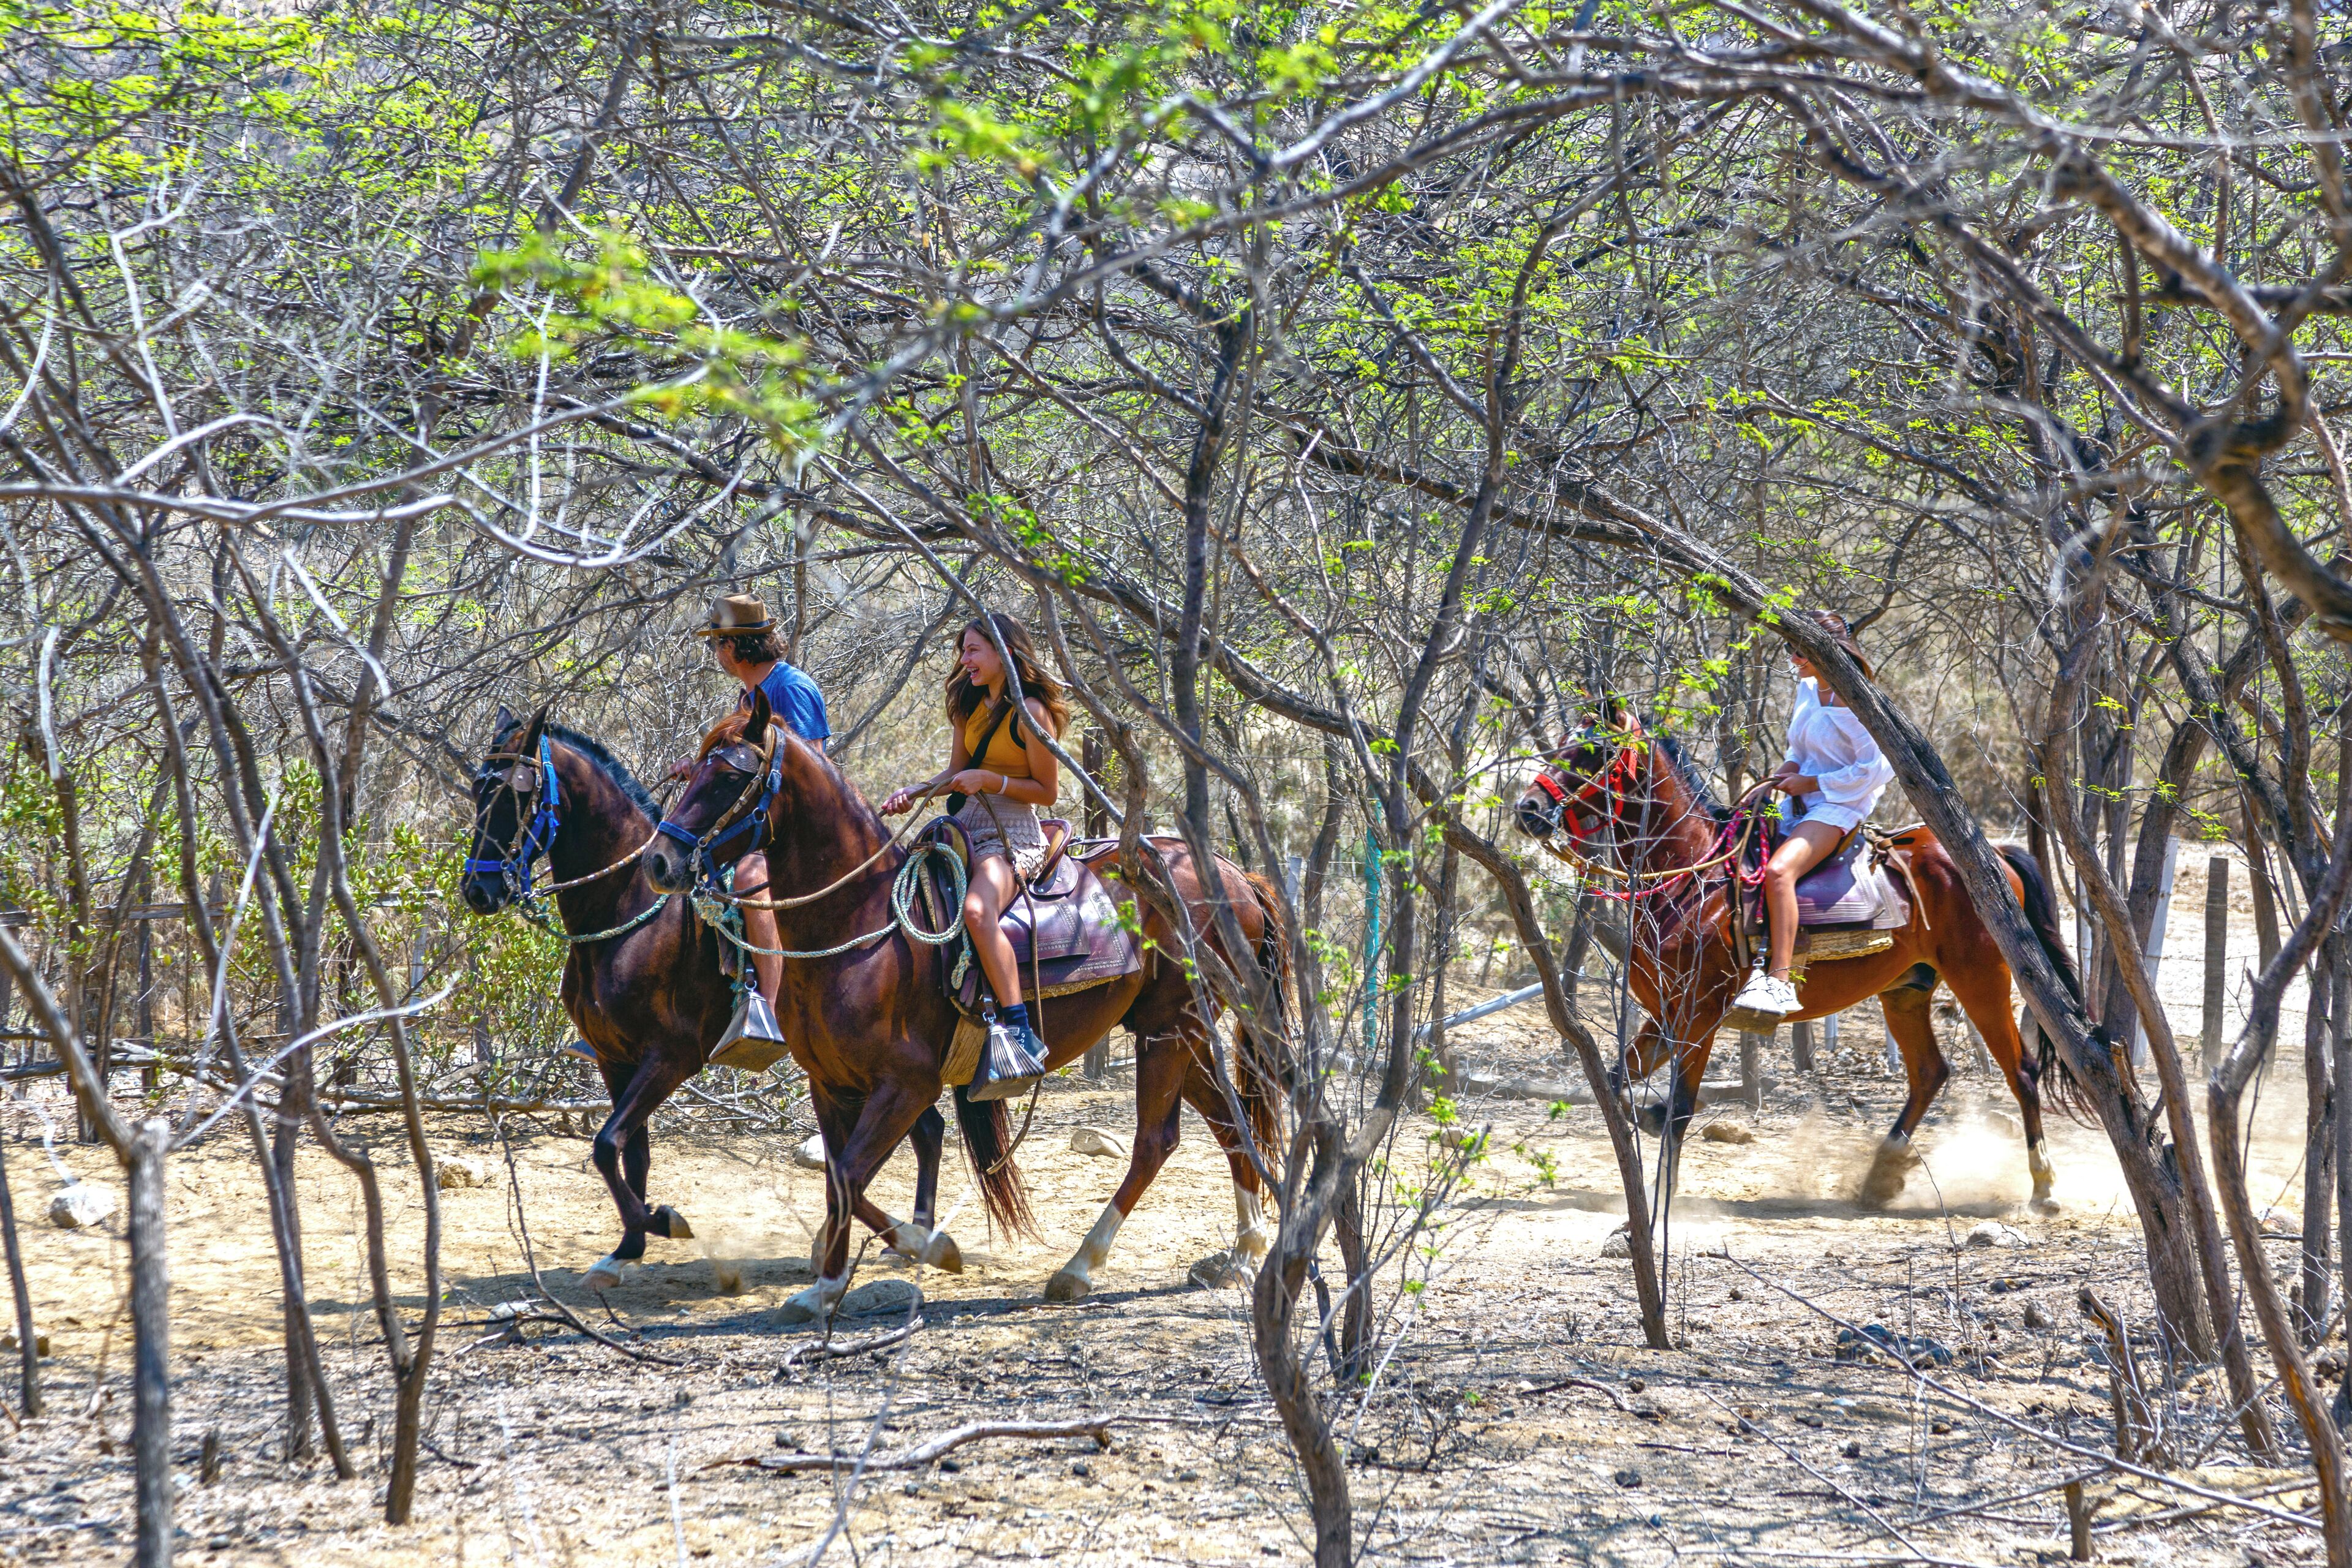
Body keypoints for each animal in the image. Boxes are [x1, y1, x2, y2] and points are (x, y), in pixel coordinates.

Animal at [459, 705, 963, 1289]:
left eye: (516, 795)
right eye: (478, 790)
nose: (478, 890)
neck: (626, 912)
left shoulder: (671, 1057)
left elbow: (607, 1145)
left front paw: (659, 1222)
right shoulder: (613, 1059)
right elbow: (630, 1152)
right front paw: (627, 1247)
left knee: (912, 1135)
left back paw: (907, 1239)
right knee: (924, 1131)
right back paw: (899, 1237)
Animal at [643, 687, 1289, 1321]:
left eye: (729, 776)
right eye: (693, 769)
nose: (658, 861)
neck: (863, 924)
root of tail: (1232, 872)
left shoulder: (907, 1086)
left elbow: (850, 1176)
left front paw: (916, 1250)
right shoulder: (830, 1084)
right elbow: (839, 1179)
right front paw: (831, 1283)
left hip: (1168, 1029)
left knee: (1156, 1141)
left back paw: (1080, 1267)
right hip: (1181, 1034)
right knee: (1229, 1124)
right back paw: (1244, 1252)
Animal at [1511, 703, 2084, 1207]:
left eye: (1594, 751)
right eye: (1561, 743)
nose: (1528, 811)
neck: (1695, 875)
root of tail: (1992, 855)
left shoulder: (1700, 1014)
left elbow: (1678, 1109)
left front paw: (1663, 1200)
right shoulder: (1666, 1015)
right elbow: (1615, 1085)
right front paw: (1645, 1122)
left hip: (1981, 978)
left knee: (2022, 1071)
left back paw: (2044, 1188)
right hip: (1906, 991)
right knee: (1930, 1073)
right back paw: (1882, 1175)